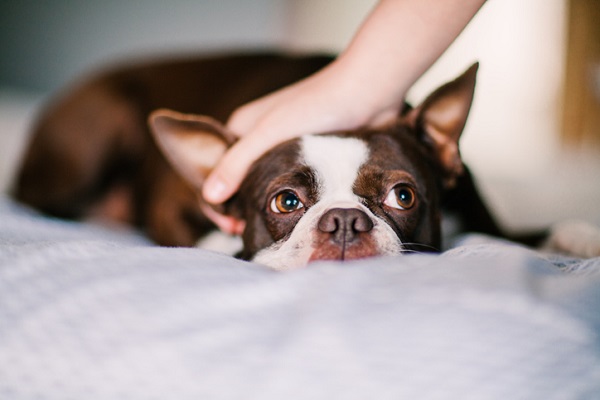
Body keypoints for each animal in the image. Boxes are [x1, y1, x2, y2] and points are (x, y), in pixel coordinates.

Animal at [12, 50, 552, 268]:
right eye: (286, 202)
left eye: (403, 196)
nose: (344, 221)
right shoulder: (172, 205)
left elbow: (531, 234)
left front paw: (567, 236)